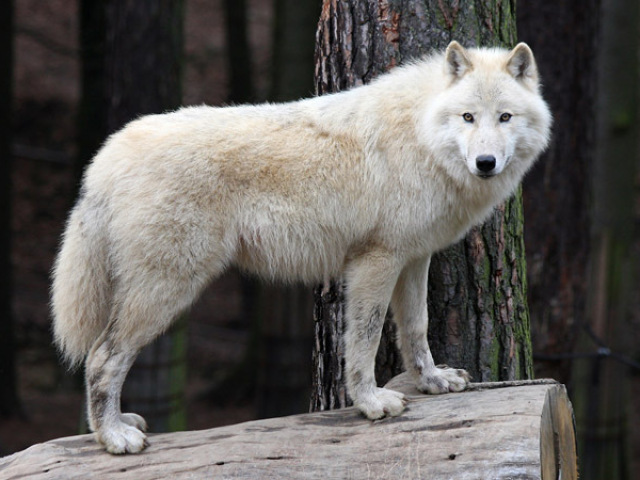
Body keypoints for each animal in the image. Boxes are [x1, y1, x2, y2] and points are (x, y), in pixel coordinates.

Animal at [51, 42, 552, 454]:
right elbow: (366, 339)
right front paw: (371, 403)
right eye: (468, 118)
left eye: (504, 117)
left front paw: (431, 381)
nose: (485, 163)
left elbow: (416, 329)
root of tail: (106, 157)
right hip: (167, 290)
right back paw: (114, 437)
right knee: (101, 358)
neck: (420, 134)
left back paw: (118, 424)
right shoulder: (375, 261)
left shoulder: (413, 258)